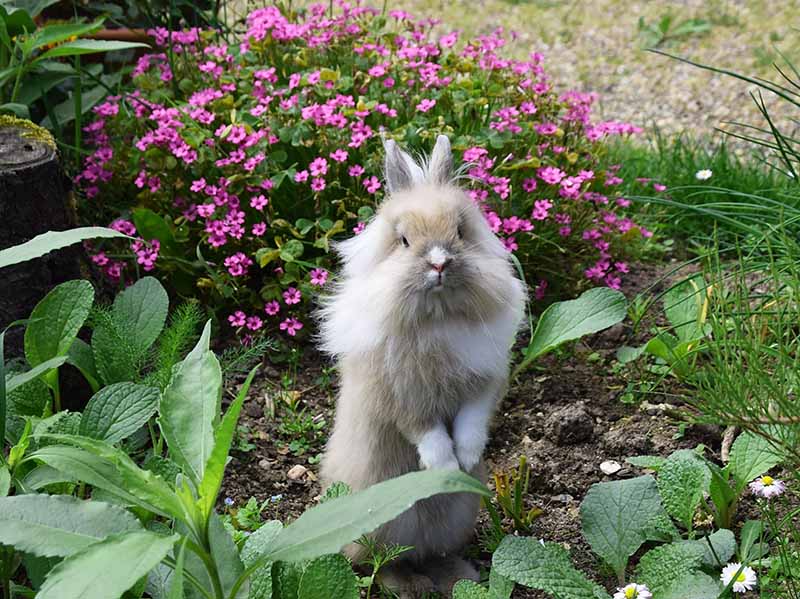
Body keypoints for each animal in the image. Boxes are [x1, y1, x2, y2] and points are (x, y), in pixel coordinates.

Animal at [318, 134, 526, 597]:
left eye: (461, 231)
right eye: (403, 240)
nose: (439, 262)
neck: (437, 317)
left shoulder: (485, 382)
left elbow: (471, 421)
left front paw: (466, 457)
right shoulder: (398, 394)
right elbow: (424, 430)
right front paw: (444, 469)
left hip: (458, 518)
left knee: (428, 552)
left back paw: (457, 575)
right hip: (382, 525)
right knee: (380, 562)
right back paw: (409, 585)